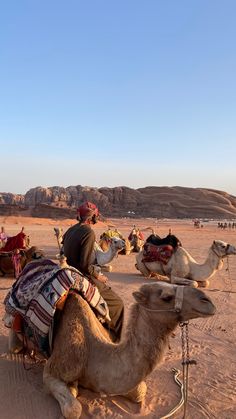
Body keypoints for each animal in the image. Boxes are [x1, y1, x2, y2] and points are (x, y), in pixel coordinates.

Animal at [42, 280, 216, 418]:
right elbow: (73, 409)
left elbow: (140, 391)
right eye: (166, 297)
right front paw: (73, 388)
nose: (207, 301)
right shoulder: (57, 367)